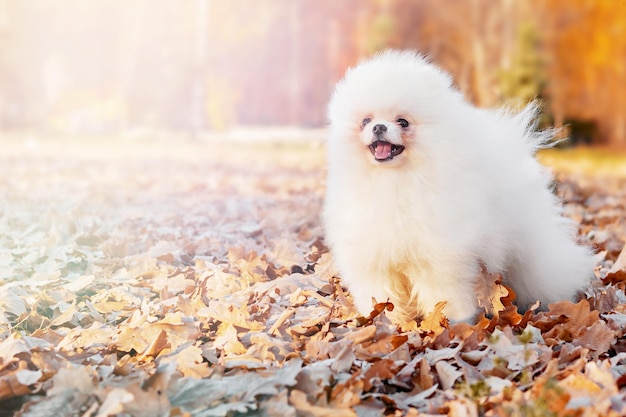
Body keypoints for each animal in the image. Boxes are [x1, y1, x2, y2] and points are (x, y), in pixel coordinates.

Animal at [324, 49, 592, 322]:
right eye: (365, 120)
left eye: (403, 122)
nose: (378, 127)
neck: (394, 181)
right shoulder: (376, 258)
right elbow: (382, 295)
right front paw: (389, 321)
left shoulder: (439, 256)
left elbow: (443, 292)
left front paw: (452, 321)